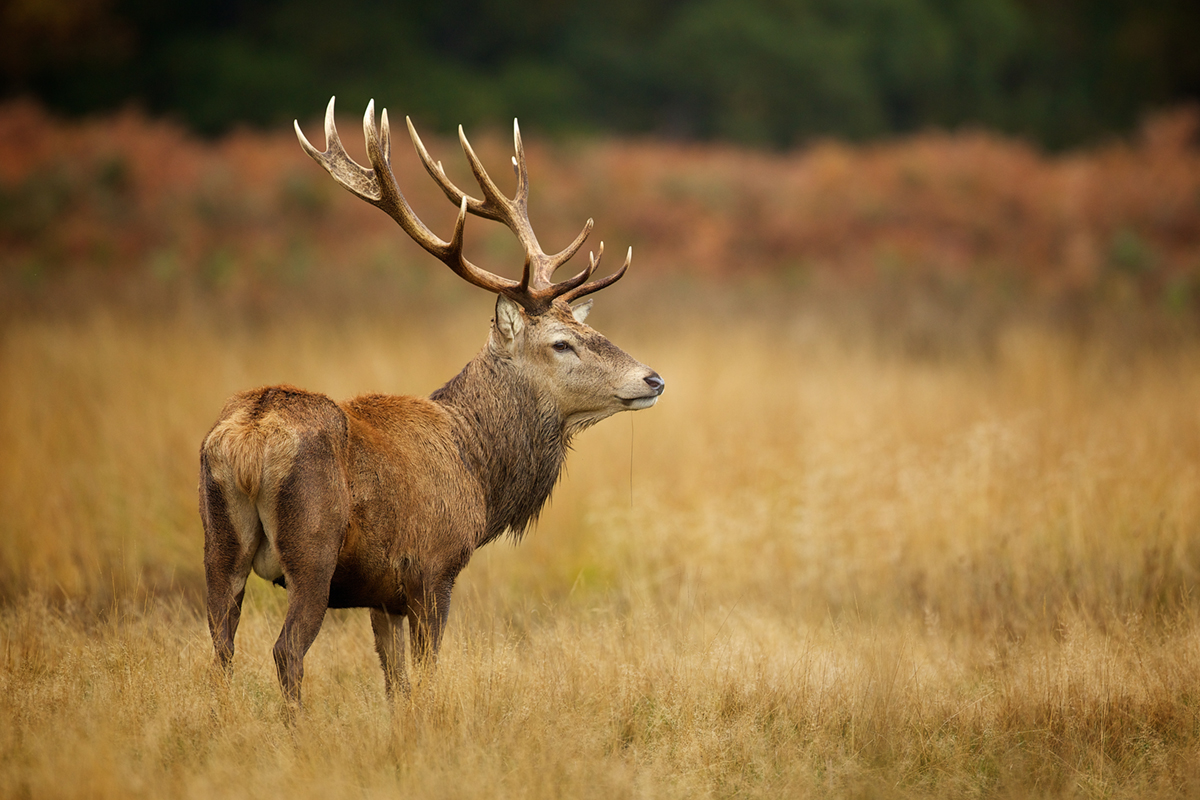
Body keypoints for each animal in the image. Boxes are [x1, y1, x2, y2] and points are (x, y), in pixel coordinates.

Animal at [198, 97, 664, 709]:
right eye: (562, 343)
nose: (652, 378)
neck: (480, 474)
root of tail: (249, 439)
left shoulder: (383, 593)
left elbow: (395, 682)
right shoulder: (433, 569)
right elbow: (425, 674)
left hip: (217, 543)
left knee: (220, 646)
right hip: (313, 551)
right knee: (286, 650)